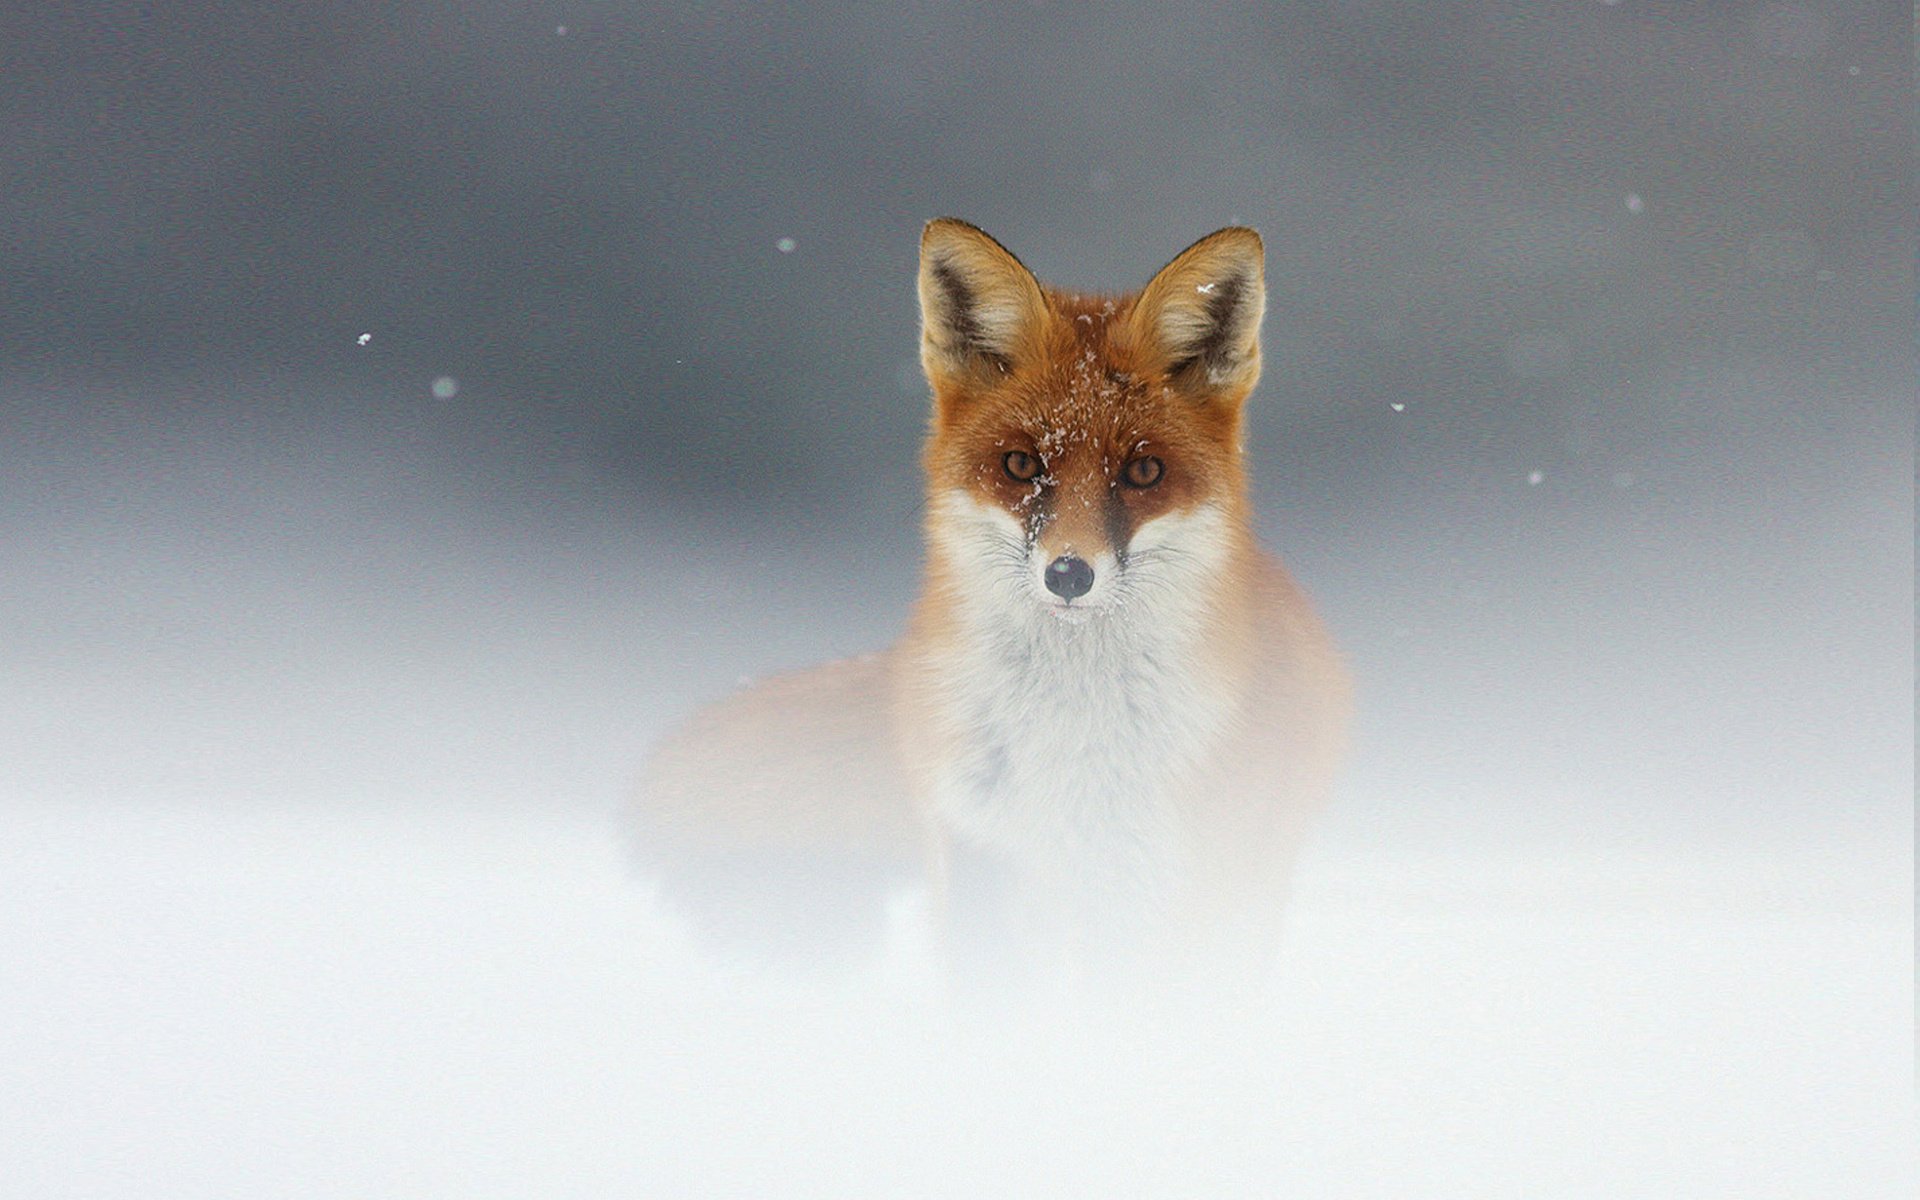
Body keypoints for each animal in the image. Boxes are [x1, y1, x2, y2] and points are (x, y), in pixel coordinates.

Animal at [641, 219, 1351, 998]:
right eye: (1020, 466)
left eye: (1142, 471)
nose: (1069, 574)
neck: (1071, 740)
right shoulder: (980, 855)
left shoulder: (1157, 891)